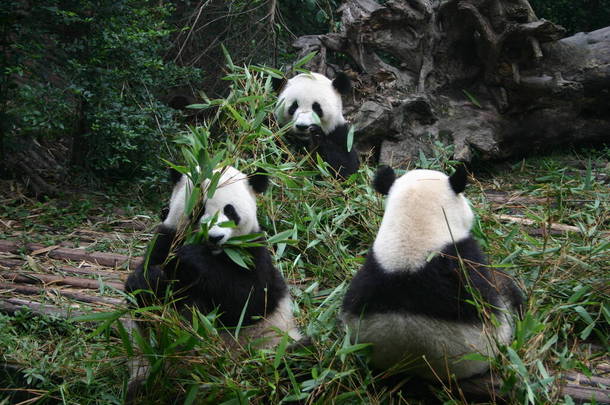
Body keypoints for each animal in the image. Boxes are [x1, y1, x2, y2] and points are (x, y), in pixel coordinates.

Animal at [124, 165, 300, 388]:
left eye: (230, 211)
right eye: (200, 208)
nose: (215, 237)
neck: (215, 253)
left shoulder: (252, 252)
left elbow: (251, 299)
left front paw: (194, 259)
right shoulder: (167, 239)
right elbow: (141, 300)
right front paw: (153, 279)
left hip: (272, 340)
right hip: (148, 360)